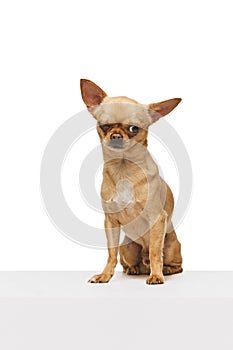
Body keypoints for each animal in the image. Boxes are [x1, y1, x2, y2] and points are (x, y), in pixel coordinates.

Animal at [81, 79, 183, 284]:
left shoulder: (156, 219)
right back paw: (134, 269)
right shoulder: (110, 222)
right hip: (127, 247)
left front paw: (157, 275)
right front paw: (105, 275)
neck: (124, 171)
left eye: (133, 128)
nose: (116, 136)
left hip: (170, 245)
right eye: (104, 125)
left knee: (173, 263)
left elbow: (154, 252)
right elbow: (111, 254)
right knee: (127, 261)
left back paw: (165, 270)